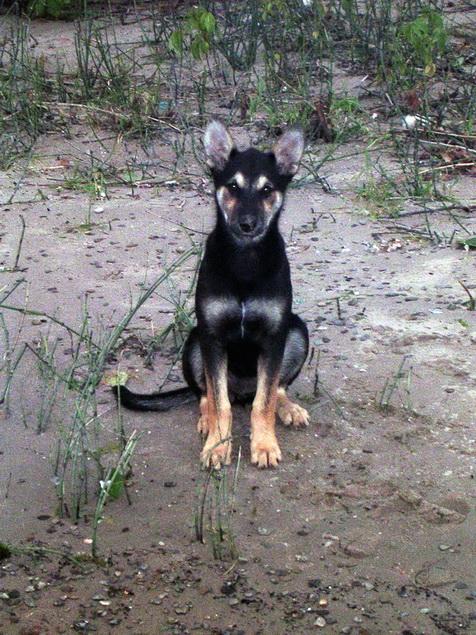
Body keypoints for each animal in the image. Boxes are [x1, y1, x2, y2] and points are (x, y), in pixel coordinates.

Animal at [115, 120, 308, 468]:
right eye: (232, 187)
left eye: (267, 190)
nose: (247, 224)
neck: (245, 260)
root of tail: (242, 390)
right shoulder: (212, 335)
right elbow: (220, 404)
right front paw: (218, 446)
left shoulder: (275, 335)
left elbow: (265, 402)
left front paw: (264, 445)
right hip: (195, 341)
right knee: (207, 394)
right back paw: (207, 420)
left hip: (297, 330)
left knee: (274, 390)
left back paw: (289, 409)